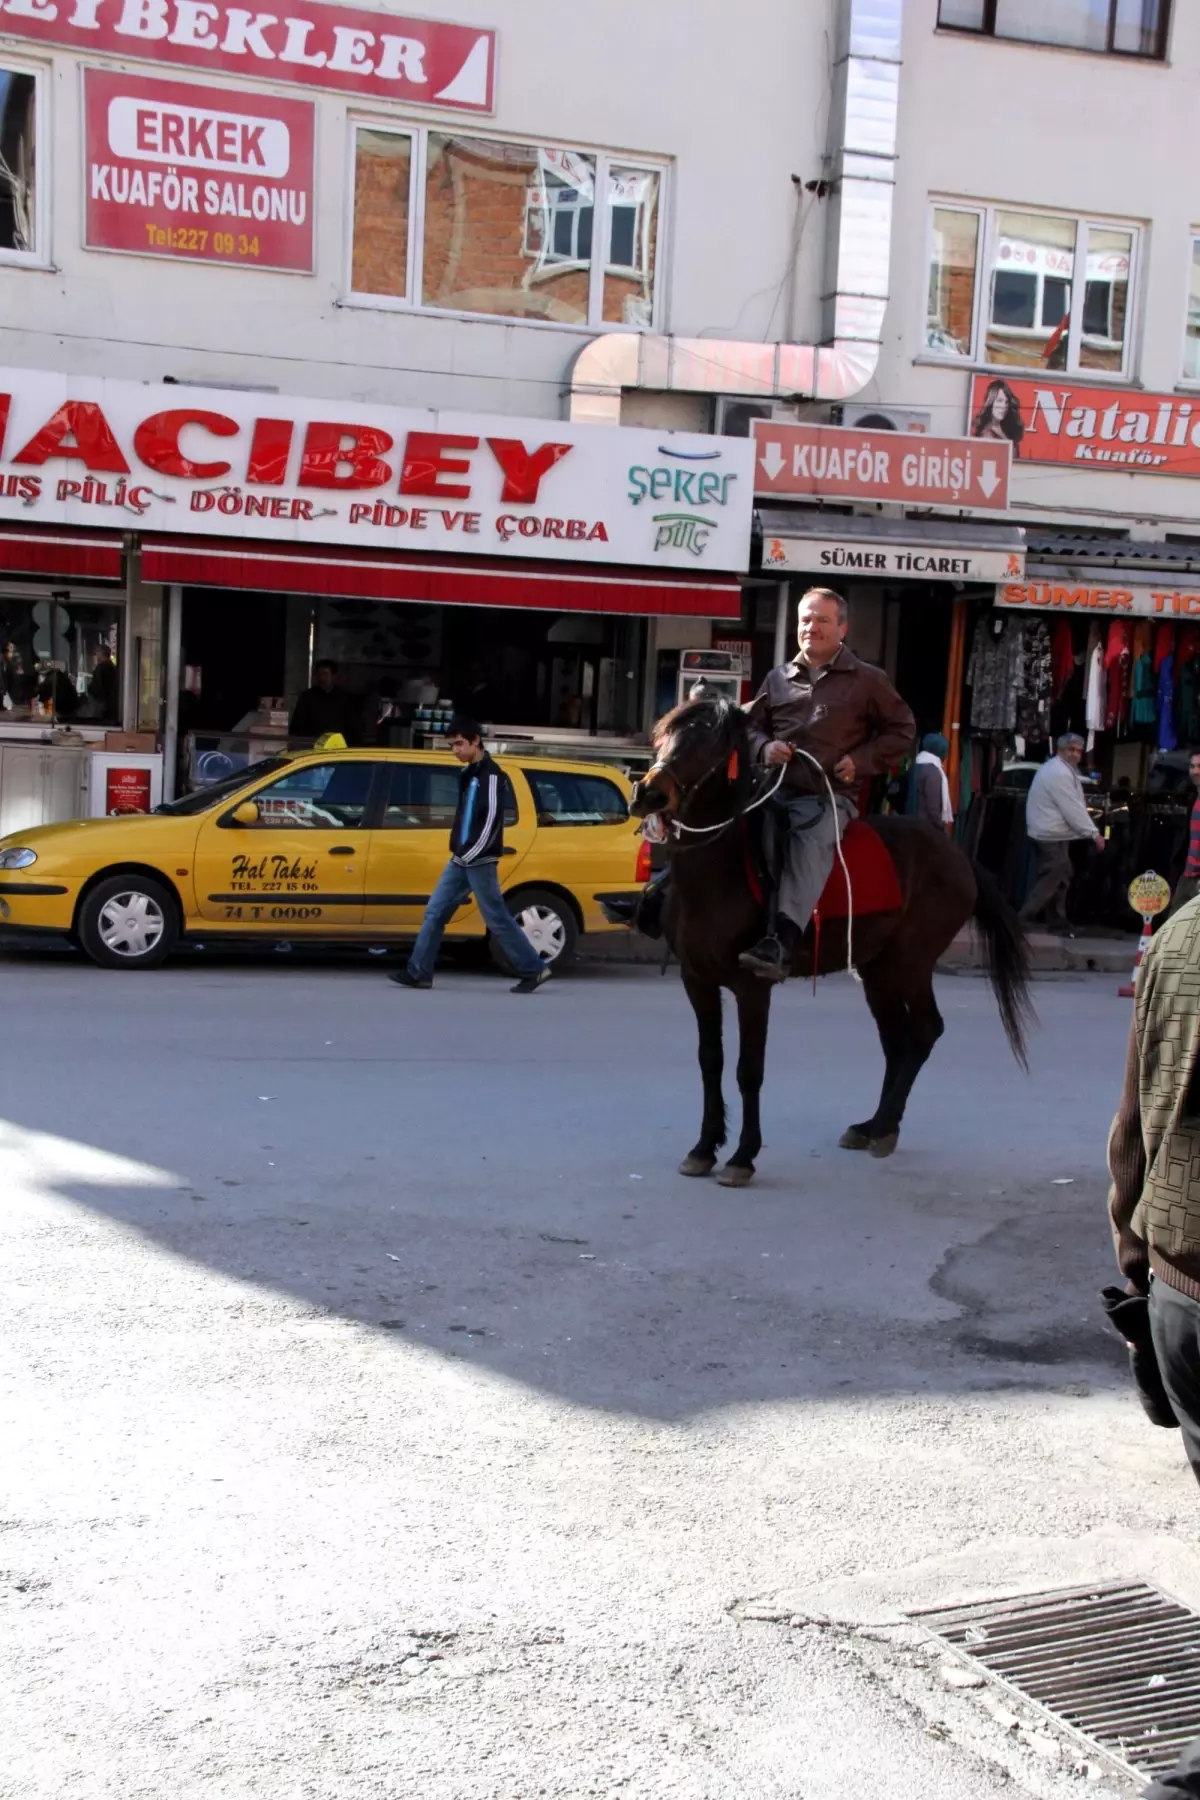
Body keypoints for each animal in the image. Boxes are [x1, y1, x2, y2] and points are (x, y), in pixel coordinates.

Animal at [629, 694, 1036, 1188]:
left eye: (708, 740)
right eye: (663, 733)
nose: (647, 793)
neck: (718, 873)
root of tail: (959, 857)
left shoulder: (752, 988)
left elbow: (749, 1070)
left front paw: (743, 1155)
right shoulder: (698, 981)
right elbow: (711, 1061)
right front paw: (704, 1147)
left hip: (911, 963)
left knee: (924, 1030)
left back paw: (886, 1128)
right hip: (878, 971)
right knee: (897, 1040)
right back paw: (873, 1125)